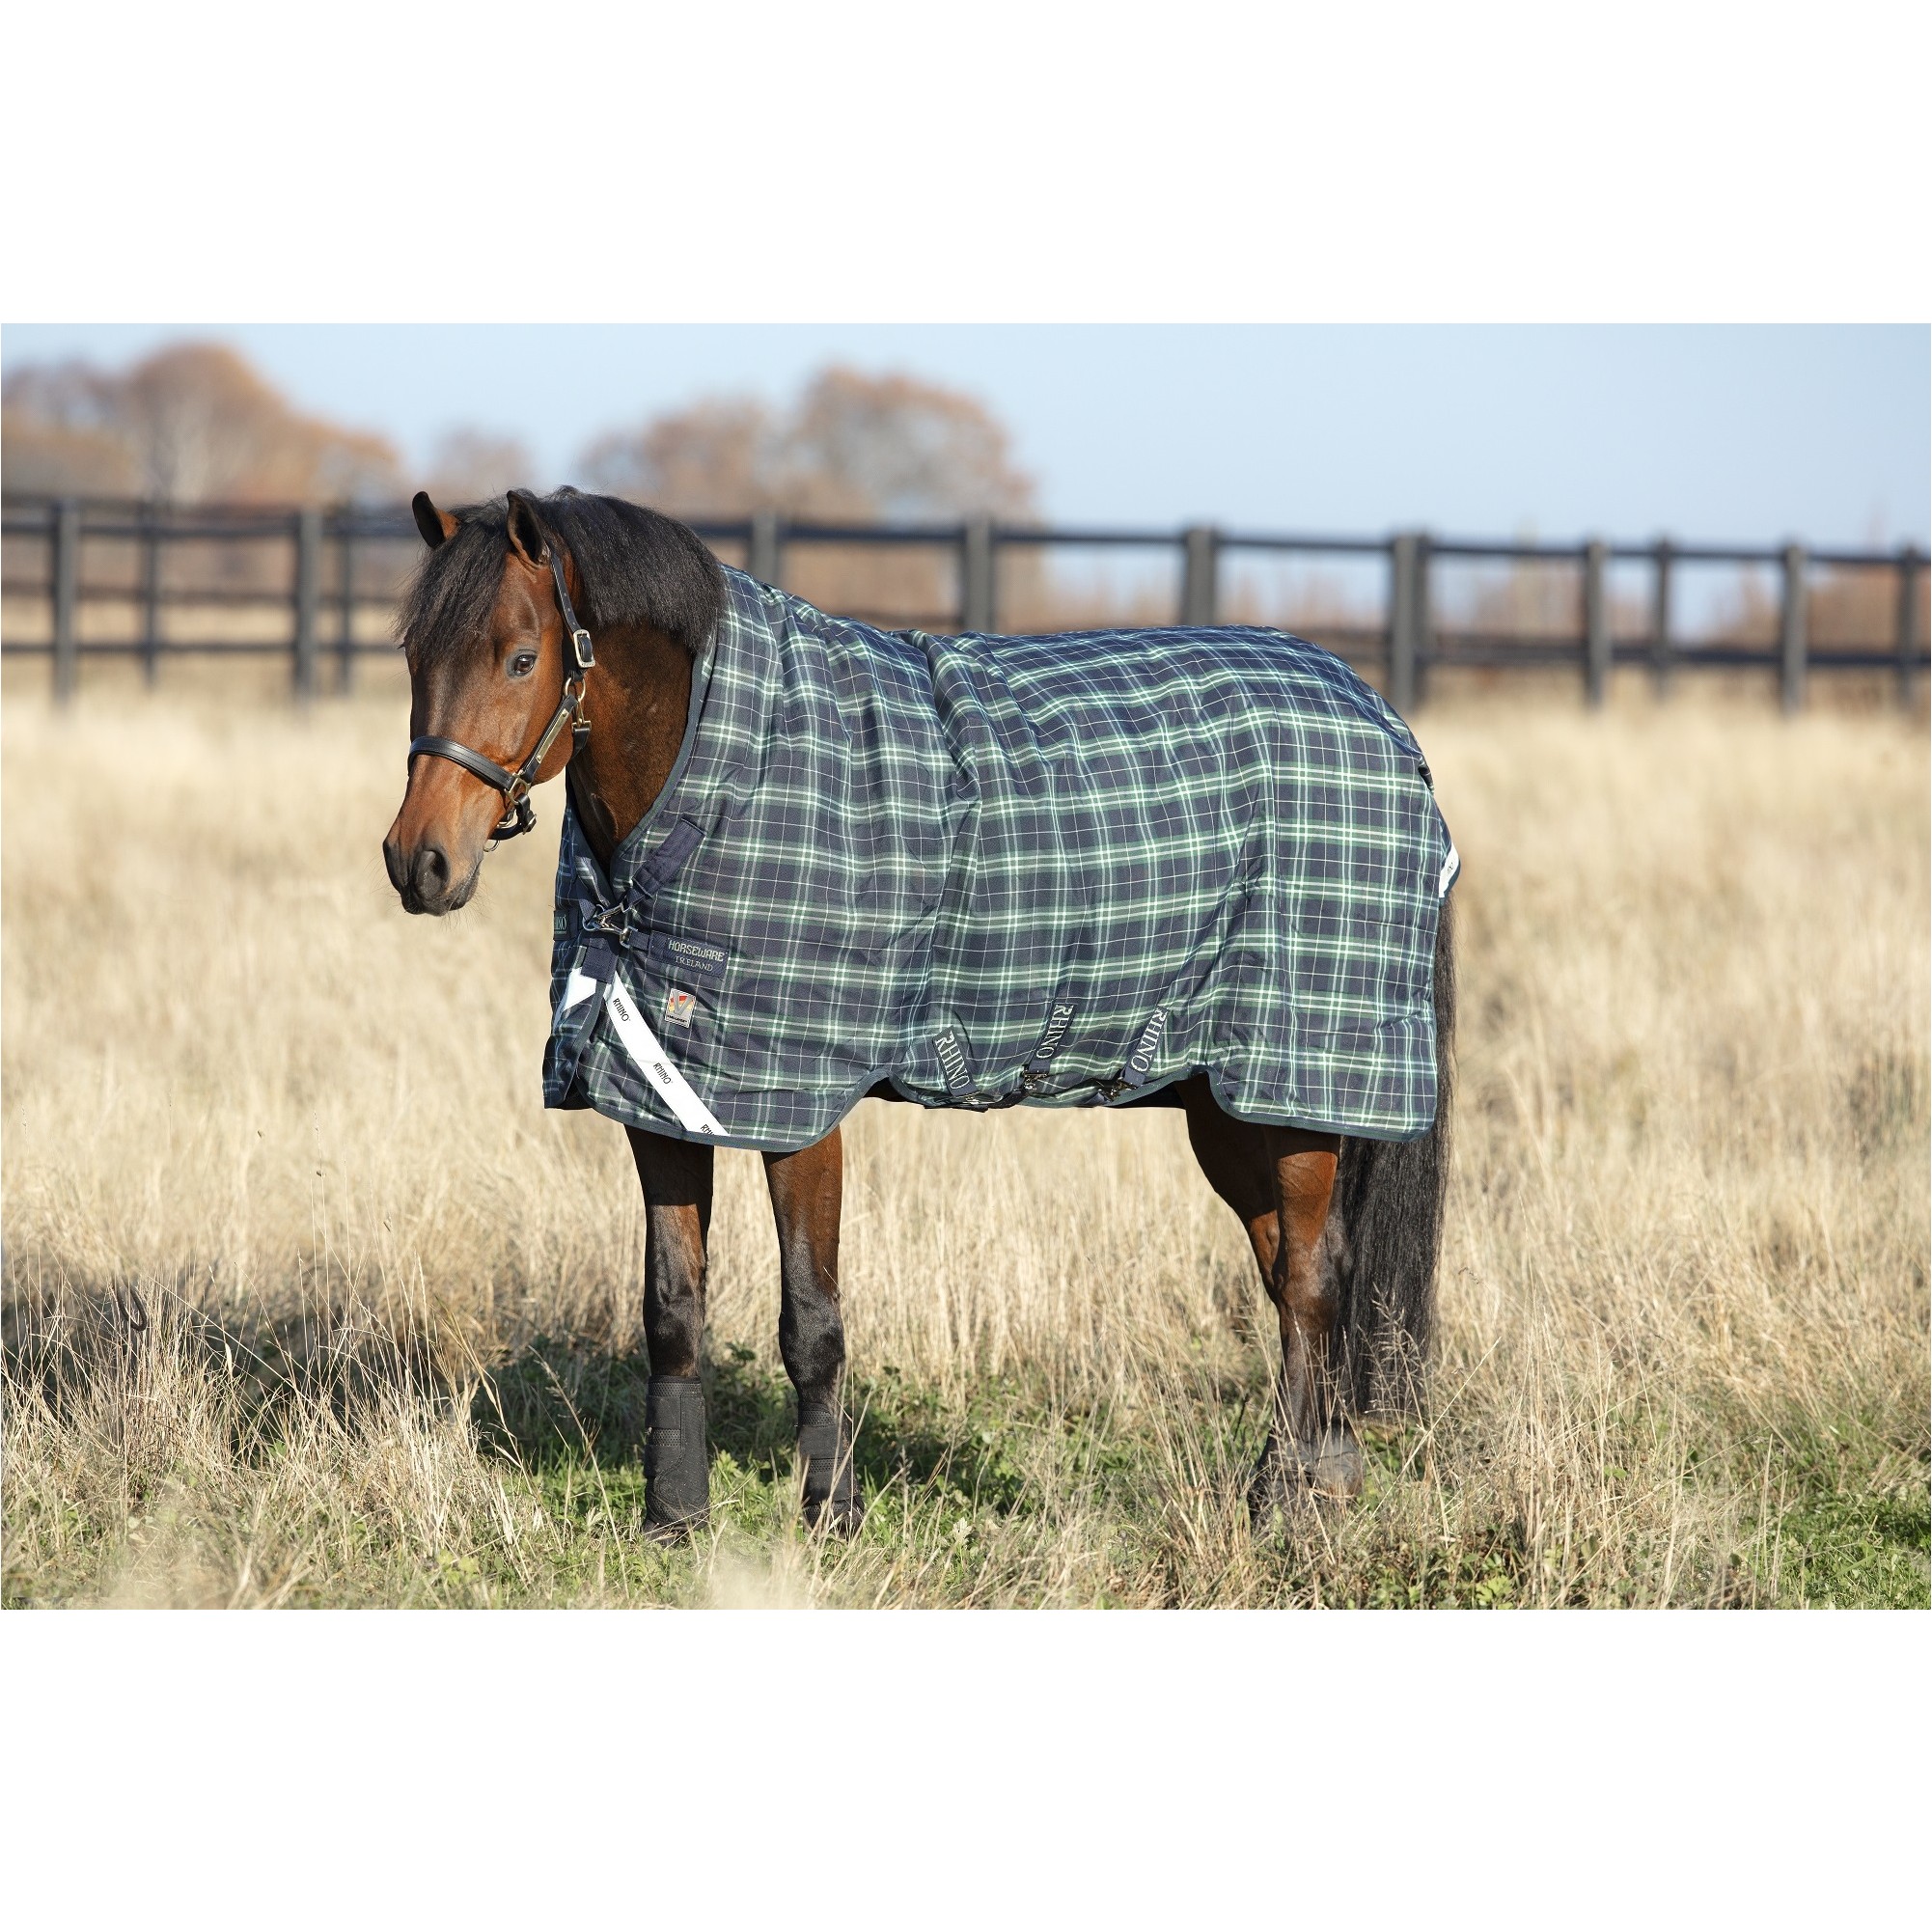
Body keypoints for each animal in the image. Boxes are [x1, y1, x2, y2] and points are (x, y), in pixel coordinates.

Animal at [384, 486, 1455, 1539]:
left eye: (522, 658)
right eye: (413, 655)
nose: (419, 861)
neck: (720, 774)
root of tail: (1386, 725)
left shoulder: (799, 1110)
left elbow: (810, 1319)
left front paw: (831, 1511)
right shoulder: (665, 1093)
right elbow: (673, 1310)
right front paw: (674, 1517)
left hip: (1293, 1085)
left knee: (1311, 1283)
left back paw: (1284, 1507)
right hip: (1226, 1105)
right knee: (1294, 1272)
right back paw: (1322, 1476)